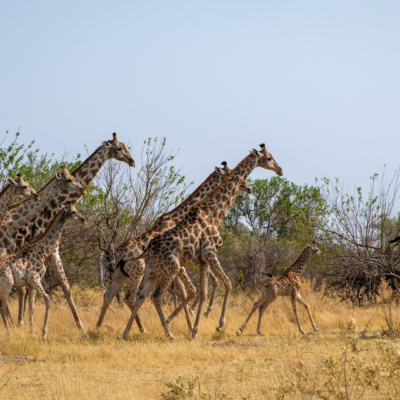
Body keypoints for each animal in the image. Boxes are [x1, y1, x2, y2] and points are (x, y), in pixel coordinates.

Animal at [0, 205, 86, 340]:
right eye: (73, 211)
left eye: (76, 209)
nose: (83, 219)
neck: (42, 250)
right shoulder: (34, 278)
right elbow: (48, 301)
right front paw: (43, 334)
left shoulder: (31, 283)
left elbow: (31, 307)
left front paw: (32, 332)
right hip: (7, 285)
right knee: (2, 308)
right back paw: (8, 332)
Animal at [95, 161, 252, 330]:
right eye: (228, 172)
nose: (247, 187)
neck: (177, 218)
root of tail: (120, 253)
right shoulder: (178, 266)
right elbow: (188, 291)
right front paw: (186, 322)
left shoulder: (177, 266)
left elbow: (185, 292)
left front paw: (185, 320)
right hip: (137, 272)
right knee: (129, 298)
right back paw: (141, 329)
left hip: (121, 273)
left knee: (109, 295)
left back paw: (99, 327)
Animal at [123, 142, 282, 340]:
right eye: (269, 158)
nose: (280, 170)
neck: (214, 213)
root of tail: (148, 250)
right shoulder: (210, 253)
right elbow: (226, 284)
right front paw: (218, 325)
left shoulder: (202, 260)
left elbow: (204, 292)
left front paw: (196, 329)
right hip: (170, 269)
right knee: (155, 297)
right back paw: (169, 334)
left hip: (152, 270)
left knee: (139, 297)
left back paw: (128, 332)